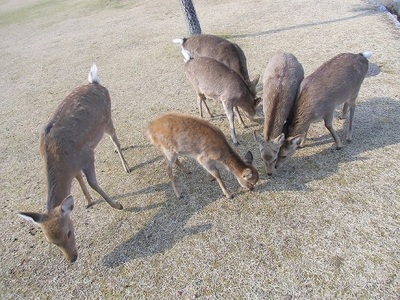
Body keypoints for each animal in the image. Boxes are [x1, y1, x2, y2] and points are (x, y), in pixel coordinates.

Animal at [17, 63, 130, 262]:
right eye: (51, 242)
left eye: (68, 232)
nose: (72, 258)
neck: (63, 162)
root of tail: (95, 82)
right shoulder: (75, 166)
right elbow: (79, 179)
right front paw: (88, 201)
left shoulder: (87, 156)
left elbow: (93, 183)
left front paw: (118, 205)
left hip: (107, 118)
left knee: (115, 138)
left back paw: (126, 166)